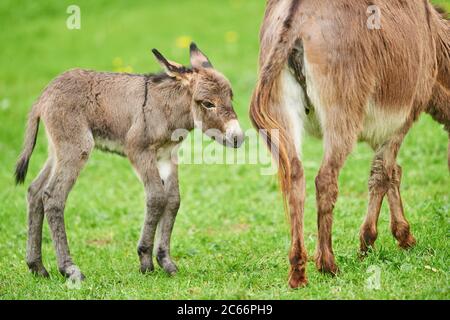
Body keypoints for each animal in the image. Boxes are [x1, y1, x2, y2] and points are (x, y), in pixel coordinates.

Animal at [14, 43, 243, 282]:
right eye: (207, 103)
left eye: (231, 97)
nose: (238, 138)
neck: (167, 108)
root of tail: (45, 94)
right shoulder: (139, 151)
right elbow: (156, 198)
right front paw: (145, 261)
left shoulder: (167, 157)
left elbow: (173, 200)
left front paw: (166, 262)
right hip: (76, 147)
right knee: (53, 197)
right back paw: (70, 269)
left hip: (57, 150)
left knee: (35, 191)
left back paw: (37, 267)